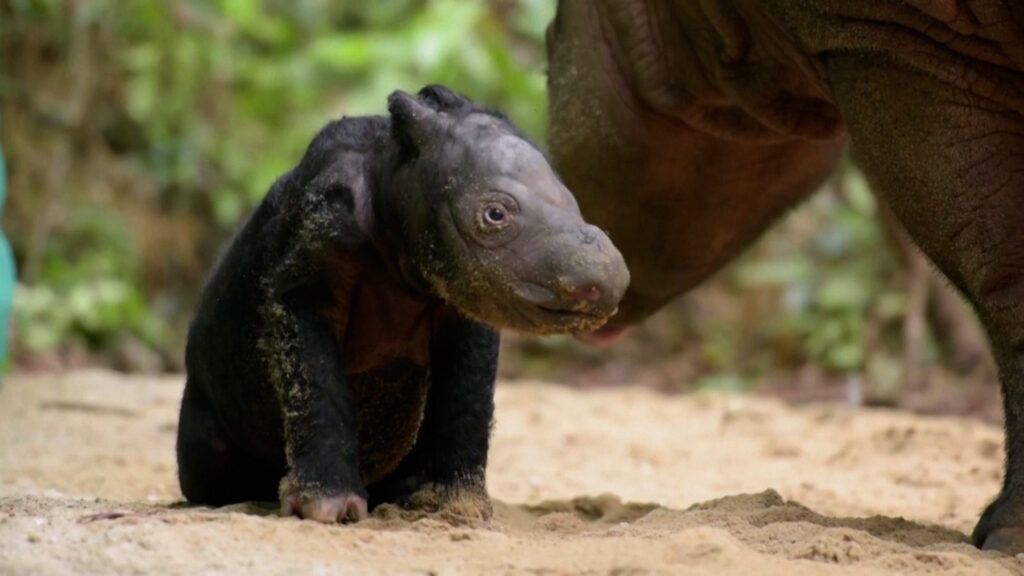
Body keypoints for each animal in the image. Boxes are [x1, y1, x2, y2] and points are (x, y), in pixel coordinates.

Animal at [175, 84, 622, 520]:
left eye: (573, 199)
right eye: (494, 215)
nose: (607, 282)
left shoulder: (465, 300)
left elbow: (468, 395)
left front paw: (456, 508)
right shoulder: (307, 273)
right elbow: (314, 382)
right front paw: (325, 508)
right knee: (207, 469)